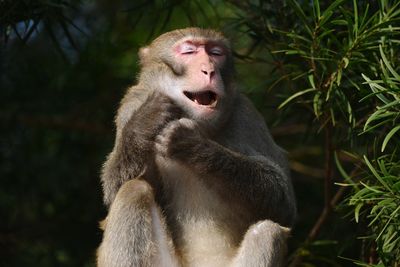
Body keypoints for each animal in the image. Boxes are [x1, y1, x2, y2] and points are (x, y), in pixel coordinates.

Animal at [97, 27, 296, 267]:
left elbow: (283, 203)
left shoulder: (247, 113)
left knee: (267, 231)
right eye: (188, 51)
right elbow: (112, 191)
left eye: (216, 53)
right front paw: (146, 122)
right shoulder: (131, 105)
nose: (209, 70)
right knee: (133, 190)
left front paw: (193, 145)